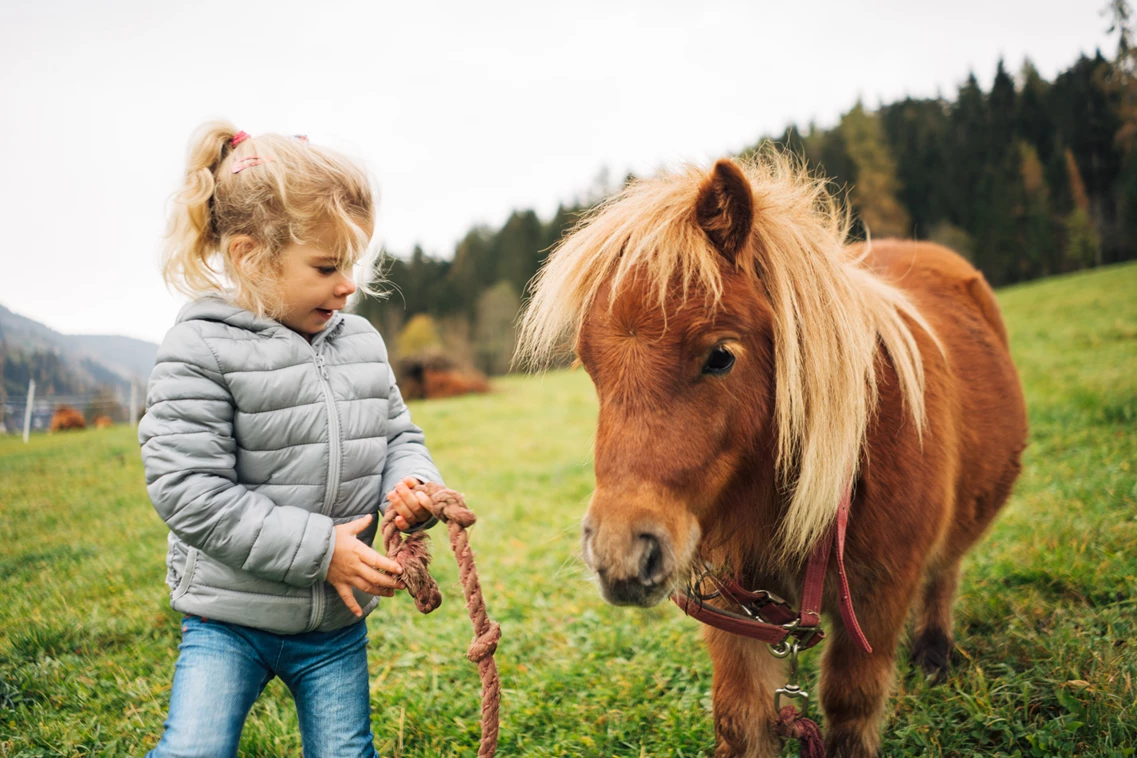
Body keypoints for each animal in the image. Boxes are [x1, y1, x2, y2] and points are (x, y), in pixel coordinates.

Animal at [516, 155, 1032, 758]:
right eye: (590, 365)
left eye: (720, 356)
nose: (622, 553)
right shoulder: (738, 616)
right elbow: (744, 718)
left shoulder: (878, 603)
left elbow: (851, 707)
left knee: (945, 569)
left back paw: (933, 651)